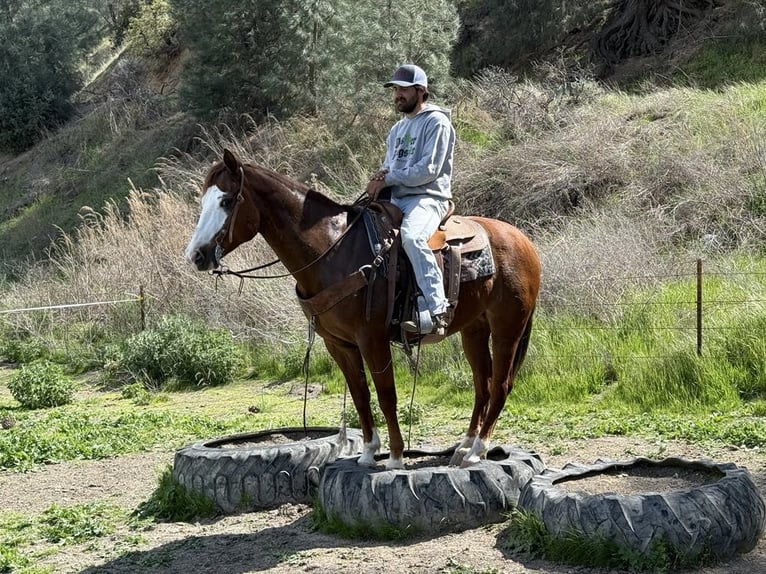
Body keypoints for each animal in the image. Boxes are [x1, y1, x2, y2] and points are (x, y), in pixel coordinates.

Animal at [184, 149, 541, 469]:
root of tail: (522, 240)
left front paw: (395, 456)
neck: (333, 251)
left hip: (508, 326)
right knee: (483, 384)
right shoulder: (338, 344)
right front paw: (369, 452)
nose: (196, 255)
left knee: (501, 384)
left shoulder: (372, 339)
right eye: (203, 202)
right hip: (474, 329)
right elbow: (360, 395)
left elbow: (386, 395)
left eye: (226, 201)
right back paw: (464, 446)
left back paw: (477, 451)